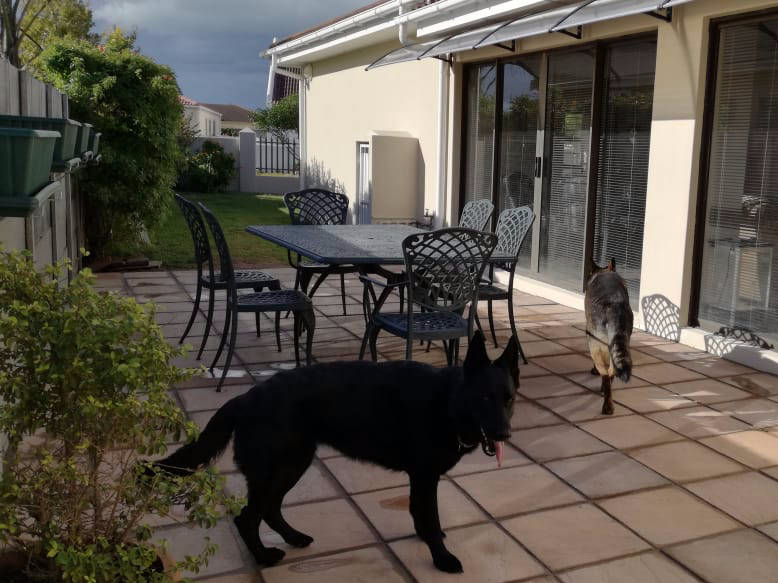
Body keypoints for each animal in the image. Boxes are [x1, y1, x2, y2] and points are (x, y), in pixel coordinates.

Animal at [154, 331, 519, 574]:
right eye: (484, 397)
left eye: (509, 398)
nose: (505, 434)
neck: (449, 402)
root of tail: (244, 398)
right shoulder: (426, 477)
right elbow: (429, 517)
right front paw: (441, 557)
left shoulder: (421, 478)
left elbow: (420, 513)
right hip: (275, 470)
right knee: (247, 518)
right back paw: (264, 557)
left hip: (293, 464)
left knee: (270, 509)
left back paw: (294, 538)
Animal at [584, 259, 633, 415]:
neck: (604, 272)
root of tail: (613, 308)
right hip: (619, 344)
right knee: (611, 373)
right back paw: (609, 401)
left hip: (595, 346)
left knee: (605, 374)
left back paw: (606, 404)